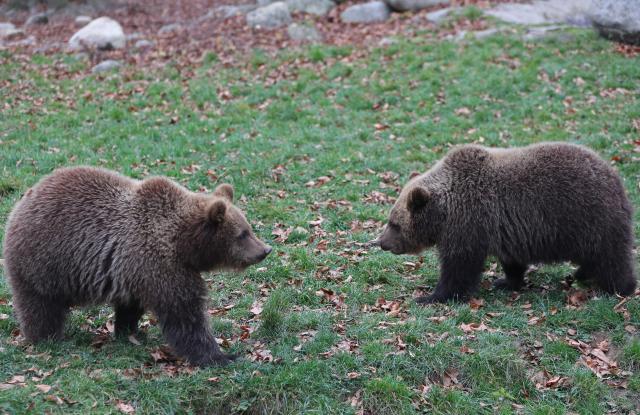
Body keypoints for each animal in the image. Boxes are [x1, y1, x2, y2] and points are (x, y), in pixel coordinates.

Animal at [3, 166, 272, 366]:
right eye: (242, 234)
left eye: (248, 228)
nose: (265, 250)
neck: (182, 243)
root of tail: (20, 204)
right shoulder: (160, 264)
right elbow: (185, 314)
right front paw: (220, 356)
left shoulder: (136, 271)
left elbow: (132, 306)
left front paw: (131, 331)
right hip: (44, 262)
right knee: (40, 306)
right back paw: (47, 338)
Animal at [372, 142, 637, 304]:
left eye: (394, 224)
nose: (382, 243)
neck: (444, 213)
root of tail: (616, 179)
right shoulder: (508, 230)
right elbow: (512, 262)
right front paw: (507, 281)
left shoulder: (468, 224)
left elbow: (459, 268)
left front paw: (431, 296)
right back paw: (580, 274)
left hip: (591, 218)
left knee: (611, 258)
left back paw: (620, 288)